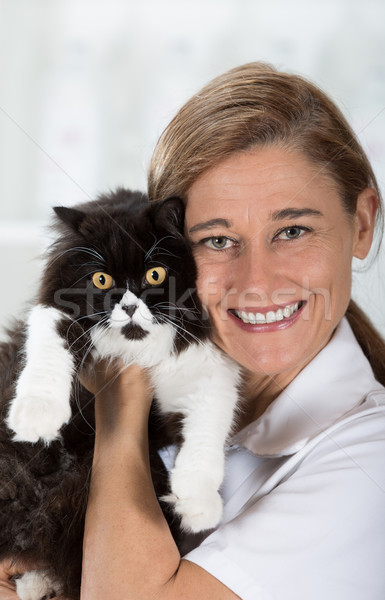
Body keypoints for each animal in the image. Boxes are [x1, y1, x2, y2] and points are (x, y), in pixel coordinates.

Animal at [0, 190, 240, 600]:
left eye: (155, 274)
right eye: (101, 279)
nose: (128, 306)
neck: (137, 350)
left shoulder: (212, 370)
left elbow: (207, 430)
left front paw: (198, 505)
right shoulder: (55, 310)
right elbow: (48, 349)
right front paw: (36, 416)